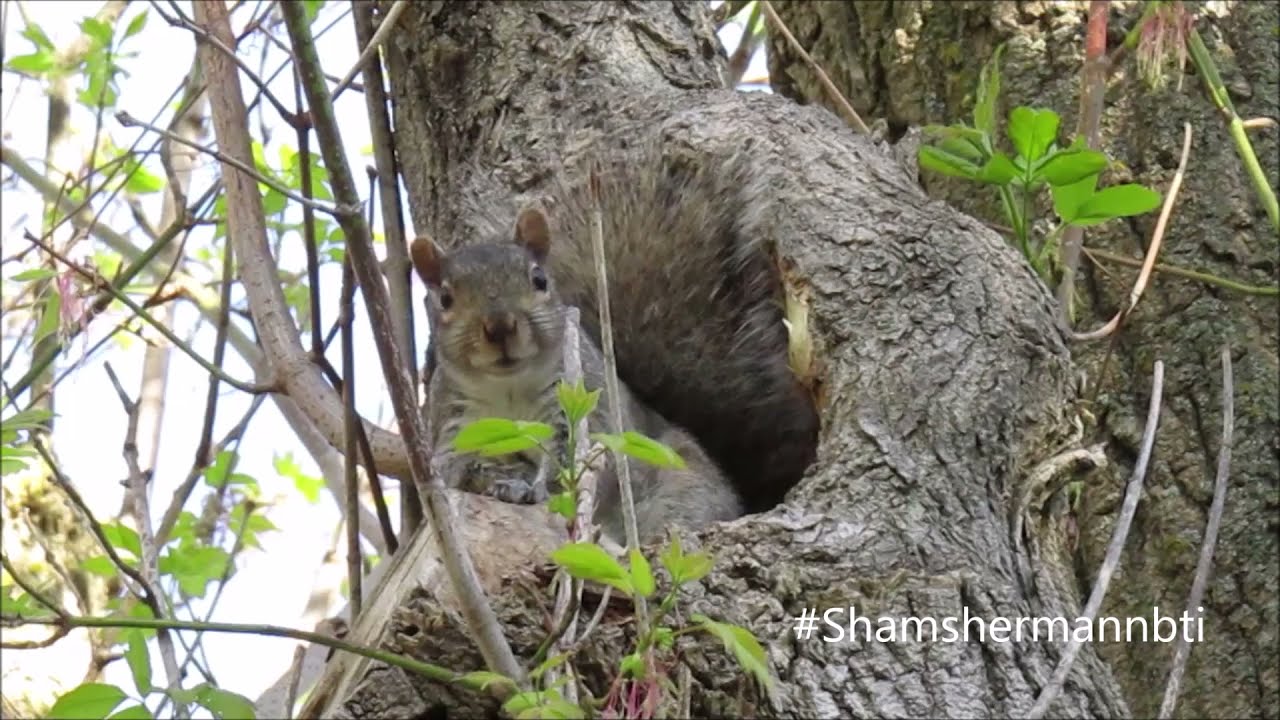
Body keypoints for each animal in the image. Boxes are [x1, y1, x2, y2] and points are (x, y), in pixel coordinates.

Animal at [411, 208, 742, 545]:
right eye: (445, 298)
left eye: (539, 279)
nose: (499, 326)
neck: (509, 387)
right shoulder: (455, 419)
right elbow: (453, 462)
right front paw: (493, 478)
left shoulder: (580, 396)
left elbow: (576, 459)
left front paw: (540, 489)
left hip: (685, 482)